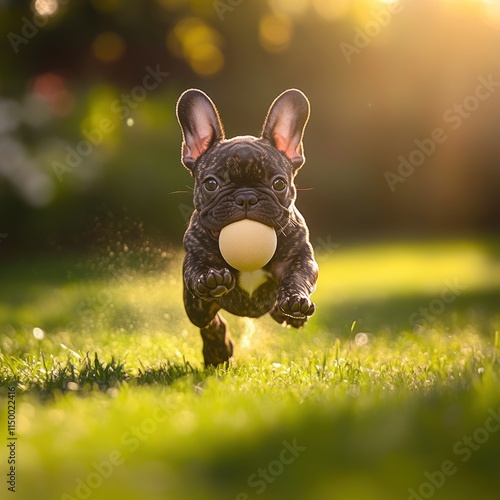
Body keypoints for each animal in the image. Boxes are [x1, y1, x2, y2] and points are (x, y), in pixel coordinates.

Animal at [176, 88, 316, 366]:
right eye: (211, 184)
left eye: (279, 184)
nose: (246, 197)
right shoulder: (195, 256)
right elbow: (198, 269)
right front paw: (210, 278)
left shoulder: (301, 257)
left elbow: (298, 276)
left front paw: (296, 299)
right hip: (195, 309)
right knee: (210, 322)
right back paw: (218, 350)